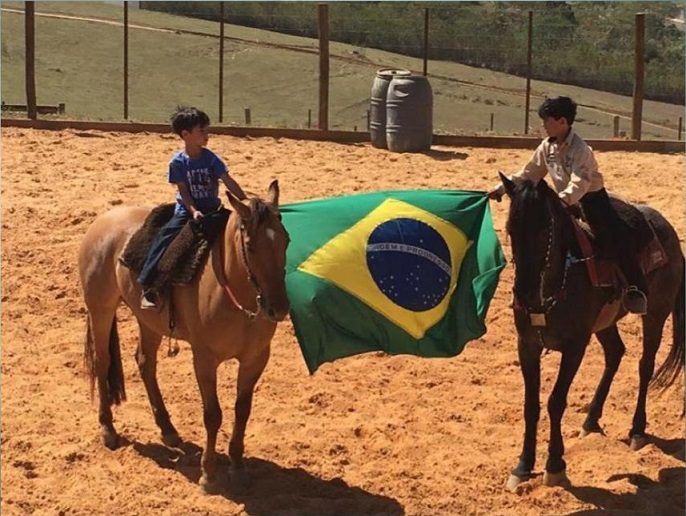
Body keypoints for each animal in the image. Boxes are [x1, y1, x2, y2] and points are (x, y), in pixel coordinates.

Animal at [79, 181, 292, 492]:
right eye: (250, 246)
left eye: (286, 241)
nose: (278, 308)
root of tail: (103, 221)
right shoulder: (204, 360)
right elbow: (213, 414)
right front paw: (208, 474)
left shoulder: (255, 359)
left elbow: (242, 410)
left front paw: (238, 467)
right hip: (101, 309)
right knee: (103, 362)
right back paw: (108, 429)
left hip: (149, 320)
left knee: (145, 363)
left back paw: (168, 431)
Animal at [500, 174, 686, 492]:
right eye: (511, 230)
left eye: (543, 231)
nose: (523, 295)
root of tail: (668, 231)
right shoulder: (526, 345)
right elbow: (531, 405)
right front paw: (523, 466)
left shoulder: (576, 346)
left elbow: (555, 402)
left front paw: (555, 466)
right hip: (606, 323)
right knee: (615, 352)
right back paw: (590, 420)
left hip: (656, 315)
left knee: (645, 366)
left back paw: (637, 430)